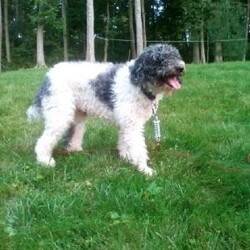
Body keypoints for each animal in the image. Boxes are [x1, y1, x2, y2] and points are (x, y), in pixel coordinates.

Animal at [26, 43, 186, 176]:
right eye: (160, 59)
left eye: (176, 55)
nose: (181, 67)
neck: (137, 81)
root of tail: (48, 76)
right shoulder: (132, 124)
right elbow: (138, 147)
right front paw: (144, 169)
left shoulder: (126, 123)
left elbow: (124, 142)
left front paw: (127, 158)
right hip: (60, 114)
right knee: (43, 141)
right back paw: (45, 161)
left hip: (77, 116)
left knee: (73, 136)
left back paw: (76, 151)